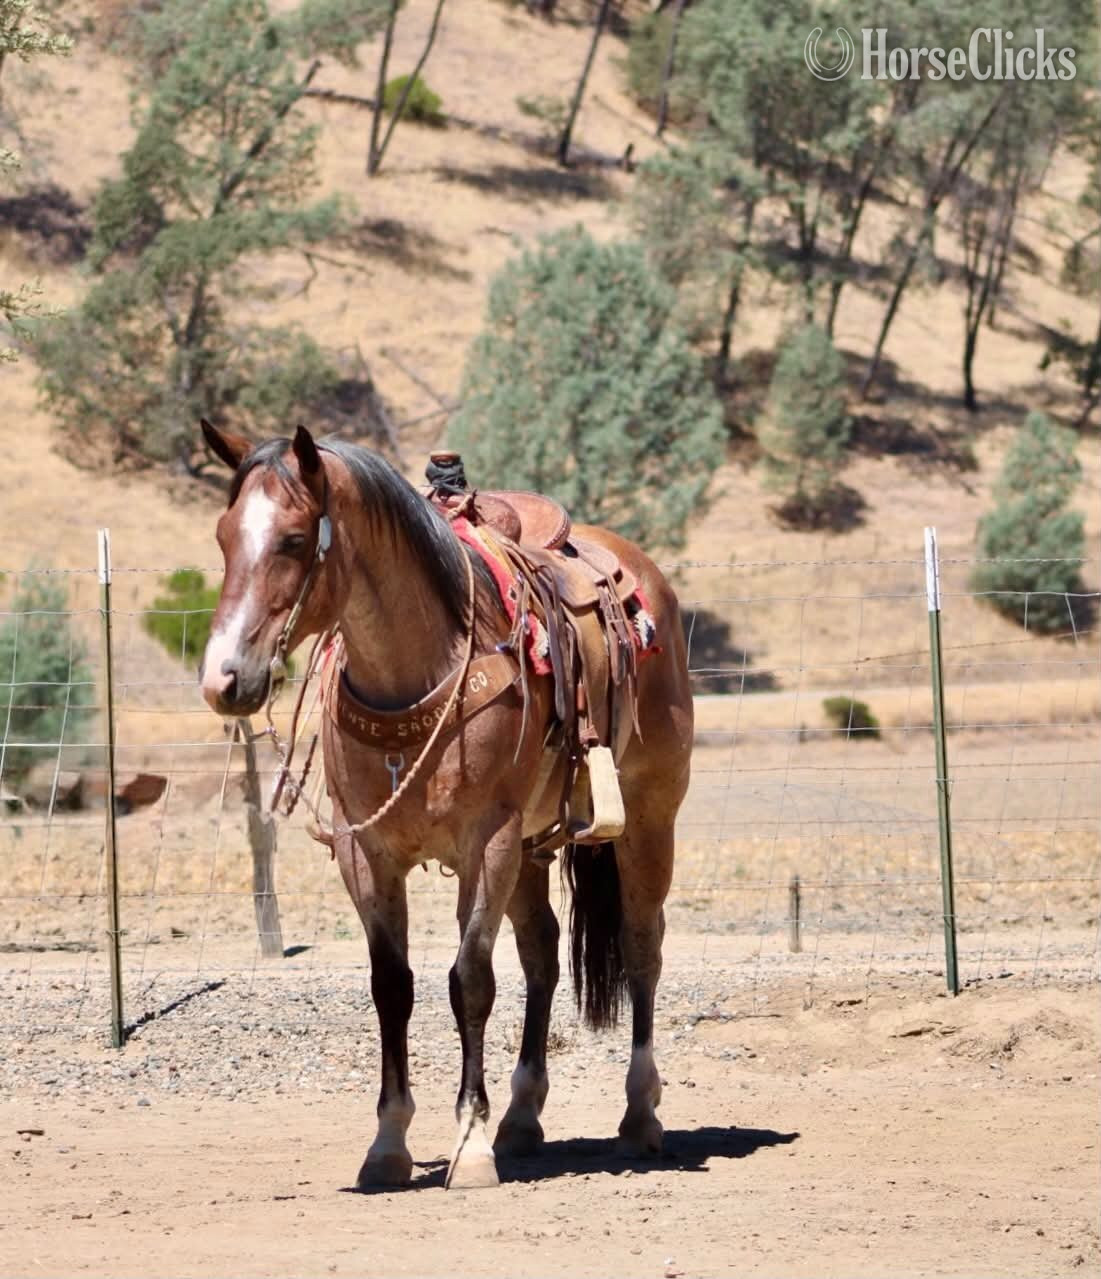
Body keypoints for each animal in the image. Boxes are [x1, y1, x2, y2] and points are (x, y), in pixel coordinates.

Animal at [197, 421, 694, 1190]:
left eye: (292, 539)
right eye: (224, 537)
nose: (223, 679)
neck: (417, 672)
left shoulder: (485, 845)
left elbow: (470, 982)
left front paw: (470, 1143)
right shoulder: (366, 854)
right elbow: (391, 986)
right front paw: (388, 1143)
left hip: (644, 822)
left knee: (642, 947)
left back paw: (639, 1116)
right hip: (531, 850)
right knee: (543, 954)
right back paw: (523, 1117)